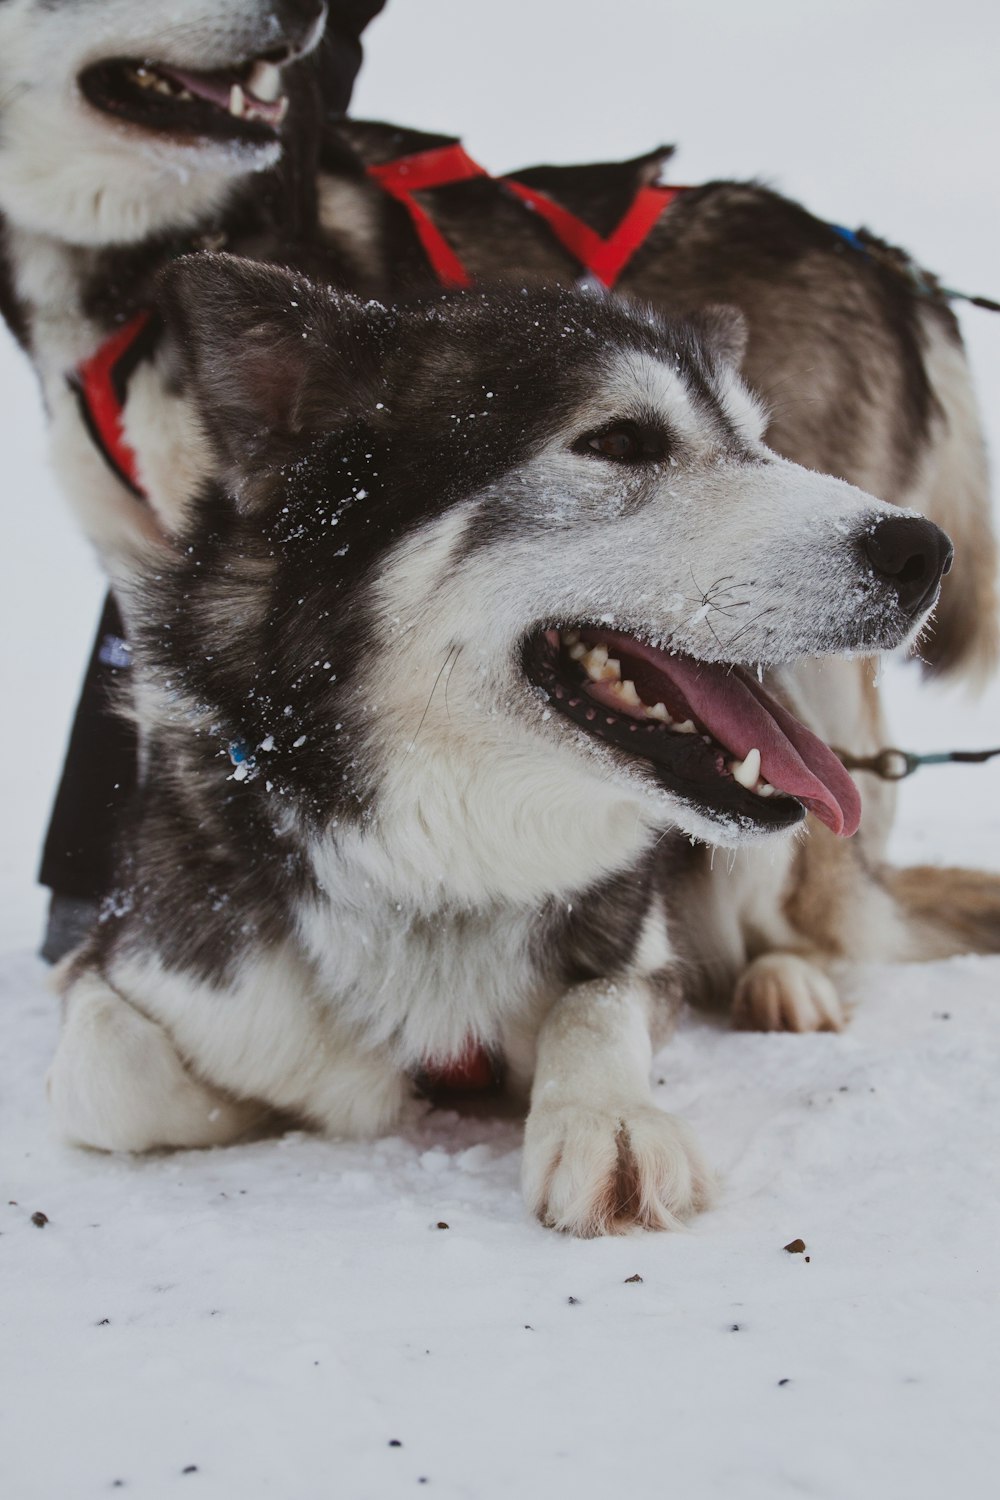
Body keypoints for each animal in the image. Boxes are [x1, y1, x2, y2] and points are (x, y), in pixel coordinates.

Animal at [46, 258, 953, 1236]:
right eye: (622, 439)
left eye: (759, 441)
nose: (924, 551)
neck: (442, 866)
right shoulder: (151, 966)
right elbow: (109, 1074)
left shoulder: (643, 959)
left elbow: (596, 1000)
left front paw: (609, 1118)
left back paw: (786, 983)